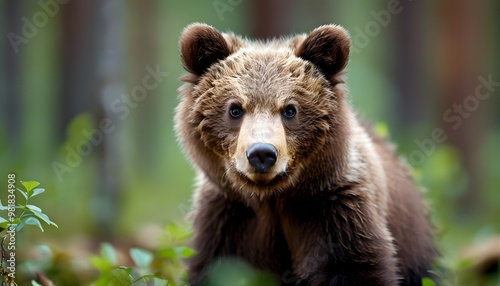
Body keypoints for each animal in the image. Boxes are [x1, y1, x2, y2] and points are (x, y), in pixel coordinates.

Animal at [176, 22, 438, 286]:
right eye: (235, 109)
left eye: (290, 109)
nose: (262, 153)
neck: (272, 199)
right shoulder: (227, 219)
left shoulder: (336, 212)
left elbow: (352, 268)